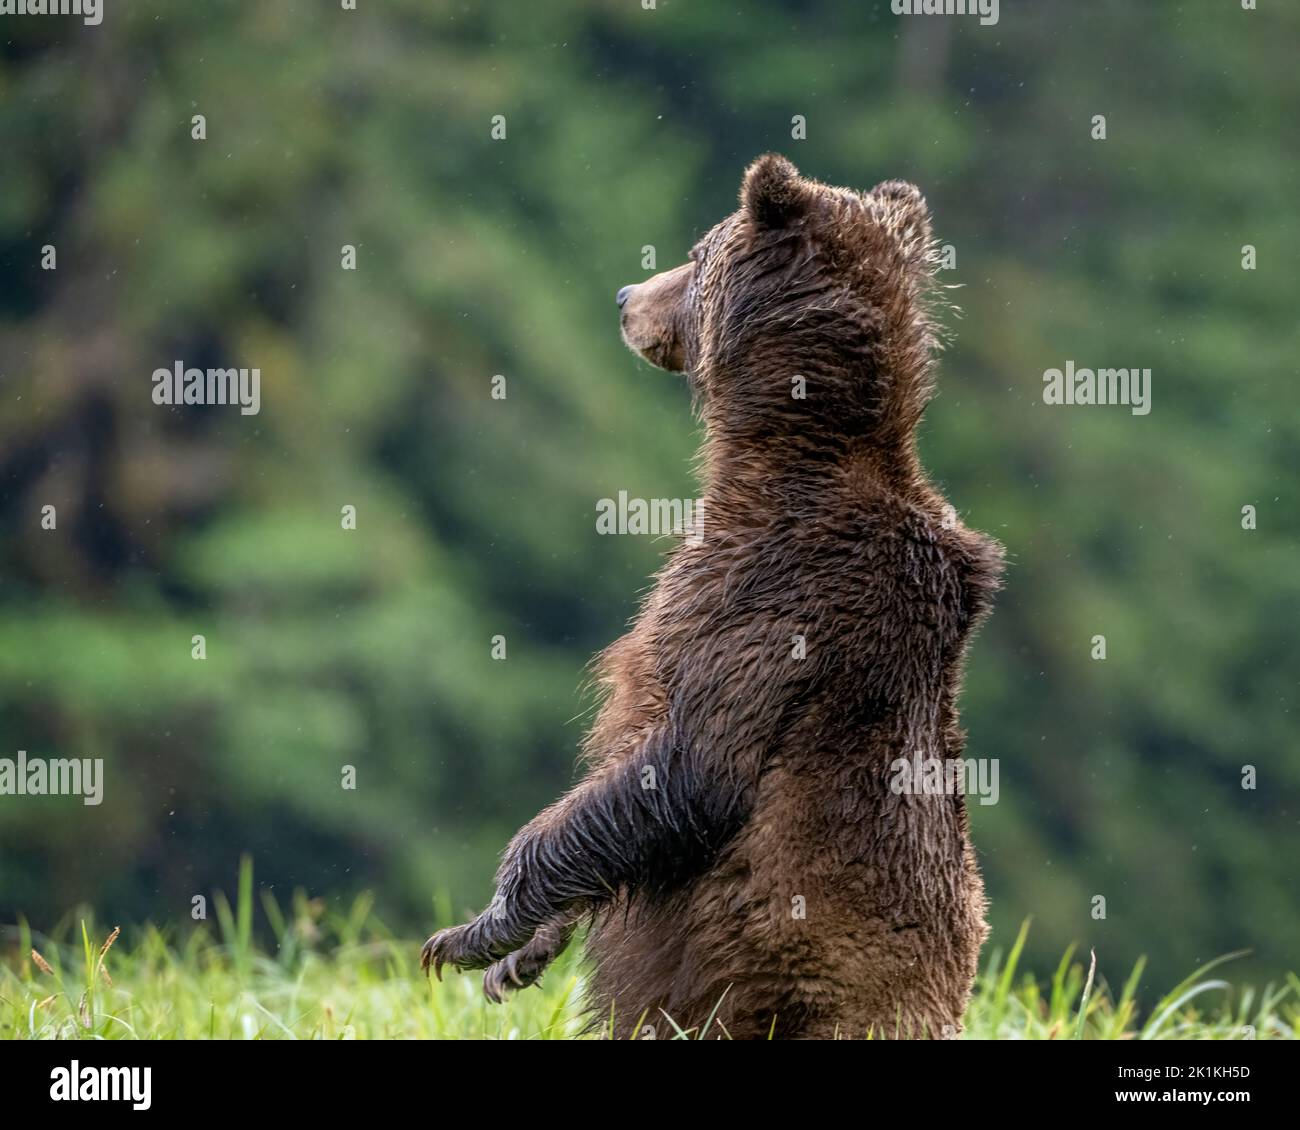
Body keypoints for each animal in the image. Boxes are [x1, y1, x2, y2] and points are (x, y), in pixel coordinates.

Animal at [426, 156, 1003, 1040]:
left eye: (696, 253)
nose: (625, 295)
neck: (784, 455)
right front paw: (523, 954)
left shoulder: (766, 602)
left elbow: (688, 766)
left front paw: (477, 931)